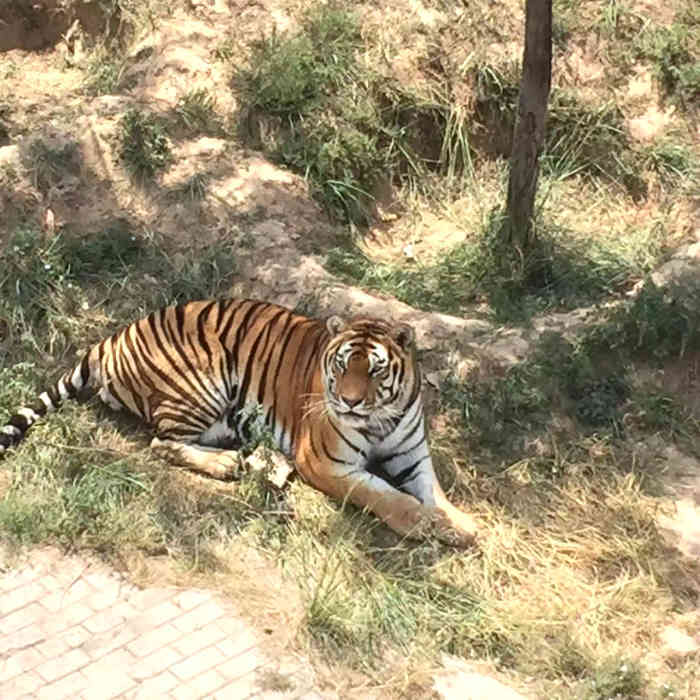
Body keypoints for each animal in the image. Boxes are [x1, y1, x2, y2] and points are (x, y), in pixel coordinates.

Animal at [0, 298, 476, 544]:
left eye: (375, 371)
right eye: (342, 365)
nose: (349, 401)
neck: (380, 418)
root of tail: (109, 339)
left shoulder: (412, 454)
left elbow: (434, 491)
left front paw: (460, 525)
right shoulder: (326, 463)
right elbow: (384, 495)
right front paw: (422, 523)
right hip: (203, 382)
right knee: (161, 443)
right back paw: (230, 464)